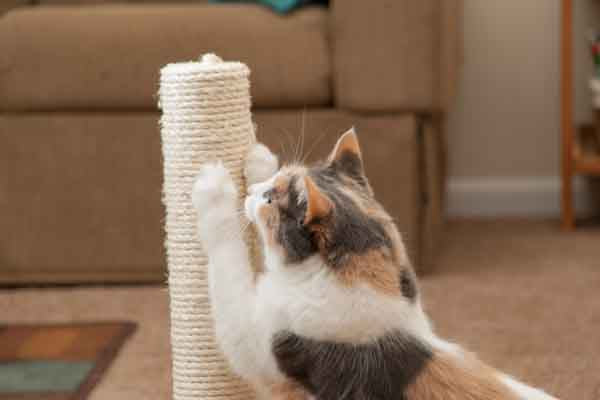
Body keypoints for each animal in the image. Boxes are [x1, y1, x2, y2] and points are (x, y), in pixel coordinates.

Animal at [192, 129, 556, 400]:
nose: (253, 191)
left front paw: (214, 190)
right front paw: (259, 160)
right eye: (272, 184)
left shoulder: (254, 343)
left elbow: (228, 261)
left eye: (270, 200)